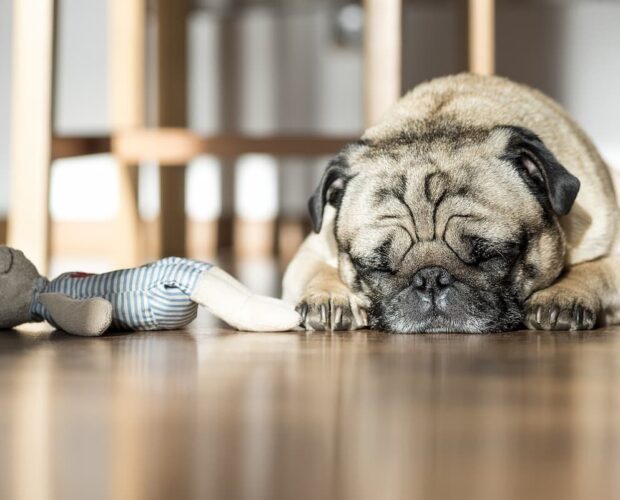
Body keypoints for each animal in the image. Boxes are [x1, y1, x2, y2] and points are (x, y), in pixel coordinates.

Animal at [282, 73, 620, 332]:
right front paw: (330, 296)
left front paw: (562, 294)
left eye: (492, 256)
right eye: (375, 267)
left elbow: (595, 269)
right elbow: (318, 271)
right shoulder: (312, 250)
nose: (430, 279)